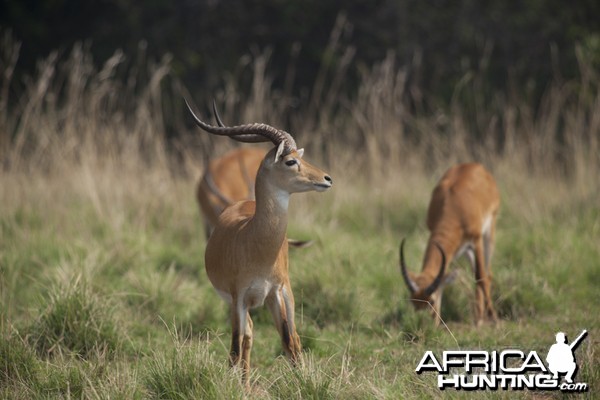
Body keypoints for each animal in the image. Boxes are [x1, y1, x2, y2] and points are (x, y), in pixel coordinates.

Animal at [185, 97, 332, 388]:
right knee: (247, 336)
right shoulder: (238, 297)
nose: (326, 178)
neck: (255, 241)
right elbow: (235, 347)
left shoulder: (279, 291)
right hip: (240, 304)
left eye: (300, 157)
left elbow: (290, 342)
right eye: (290, 161)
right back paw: (245, 382)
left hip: (279, 296)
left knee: (284, 338)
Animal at [398, 162, 502, 324]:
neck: (453, 206)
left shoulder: (476, 239)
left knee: (486, 273)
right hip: (465, 249)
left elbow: (481, 276)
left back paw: (484, 317)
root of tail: (475, 165)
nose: (424, 324)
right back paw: (478, 316)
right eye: (413, 301)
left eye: (431, 300)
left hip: (489, 231)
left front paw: (494, 318)